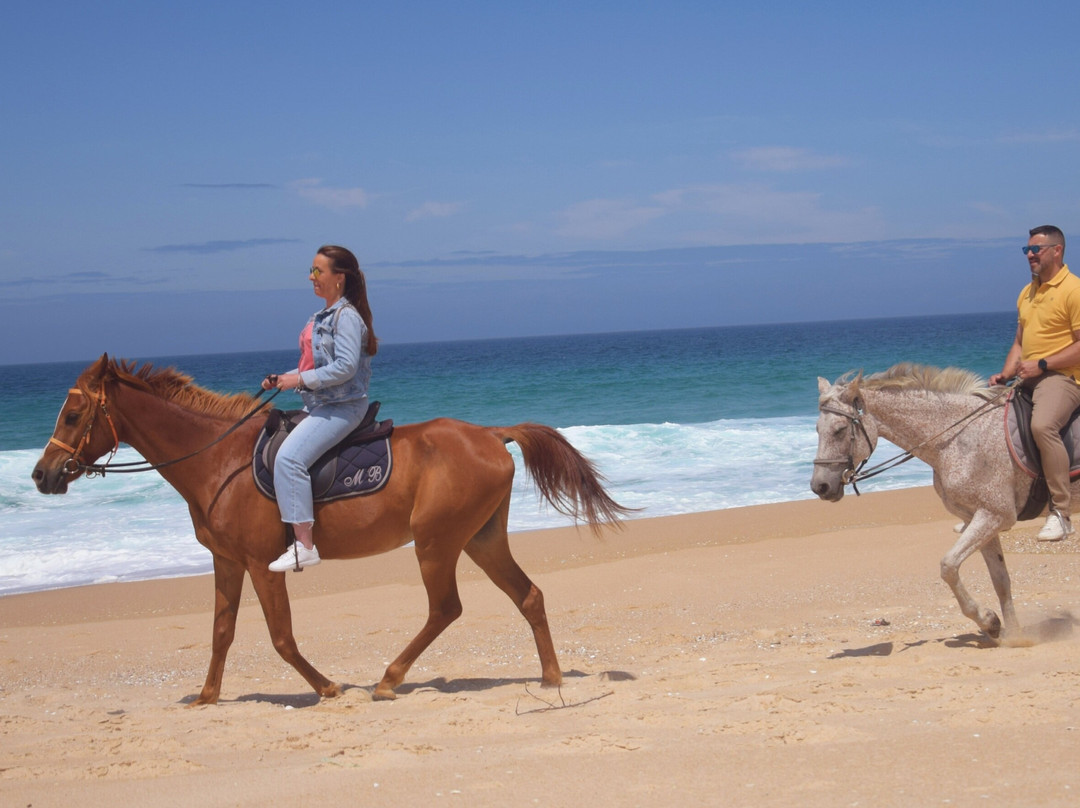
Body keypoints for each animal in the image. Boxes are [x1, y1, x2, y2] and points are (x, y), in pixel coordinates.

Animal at [31, 355, 631, 704]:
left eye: (72, 415)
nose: (42, 474)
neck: (219, 460)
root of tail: (491, 433)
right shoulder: (227, 561)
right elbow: (221, 632)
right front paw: (205, 696)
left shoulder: (261, 563)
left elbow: (280, 637)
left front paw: (327, 687)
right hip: (481, 539)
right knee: (527, 596)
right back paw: (550, 678)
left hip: (437, 543)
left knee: (445, 608)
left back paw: (389, 679)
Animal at [811, 362, 1036, 642]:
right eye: (817, 430)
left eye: (840, 430)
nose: (819, 486)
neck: (958, 438)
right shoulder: (980, 517)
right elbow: (1000, 580)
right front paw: (1012, 635)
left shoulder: (995, 515)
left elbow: (948, 566)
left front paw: (988, 621)